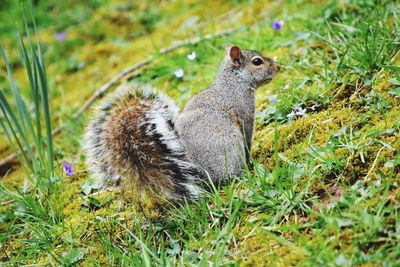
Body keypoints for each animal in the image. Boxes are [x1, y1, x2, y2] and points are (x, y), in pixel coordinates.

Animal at [83, 45, 280, 203]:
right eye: (257, 61)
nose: (278, 67)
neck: (233, 83)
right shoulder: (244, 112)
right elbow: (247, 138)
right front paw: (252, 160)